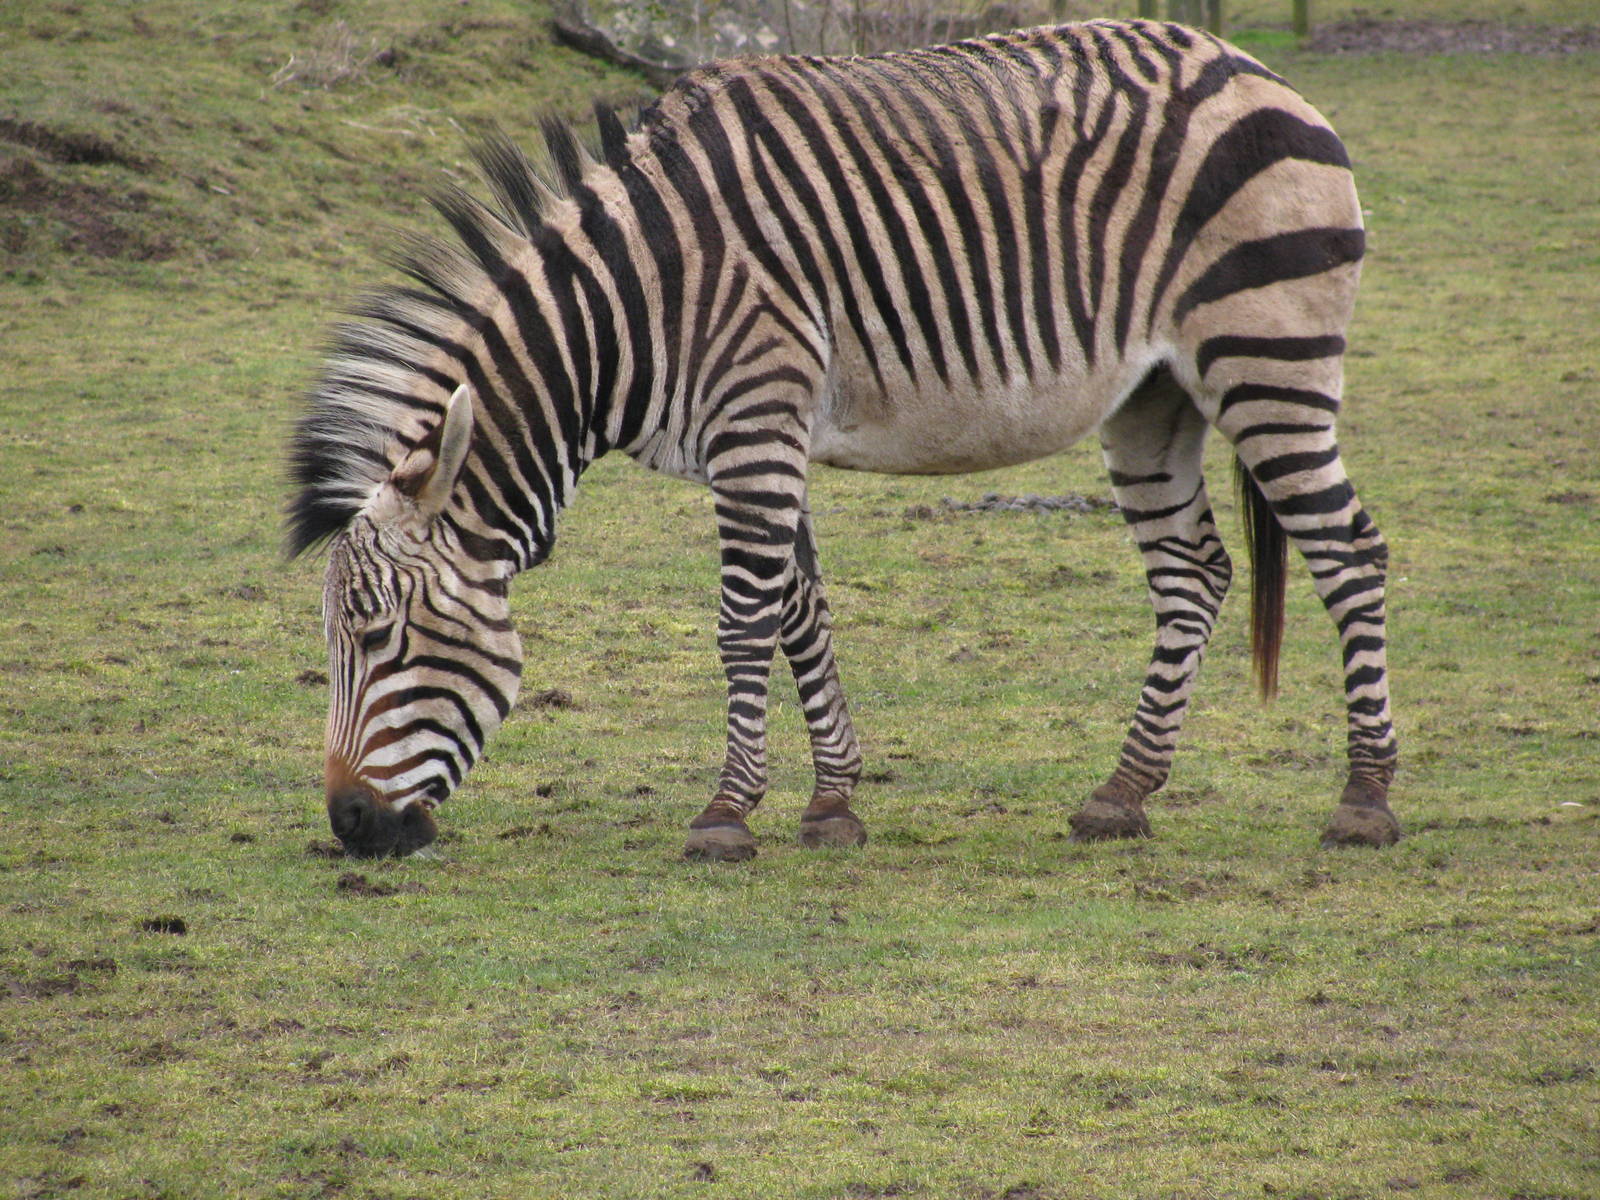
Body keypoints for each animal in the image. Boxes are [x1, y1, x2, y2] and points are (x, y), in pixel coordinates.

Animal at [287, 19, 1399, 860]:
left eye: (379, 638)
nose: (349, 827)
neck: (636, 306)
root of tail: (1247, 65)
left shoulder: (754, 423)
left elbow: (743, 621)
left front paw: (725, 815)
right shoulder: (762, 437)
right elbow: (801, 613)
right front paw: (831, 802)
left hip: (1267, 355)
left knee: (1348, 552)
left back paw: (1365, 799)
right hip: (1154, 395)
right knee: (1193, 570)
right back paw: (1122, 793)